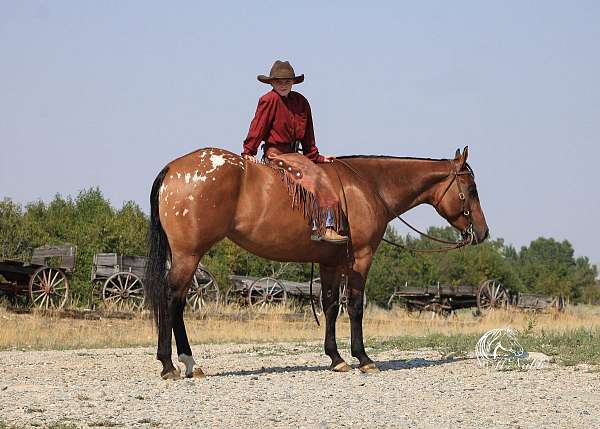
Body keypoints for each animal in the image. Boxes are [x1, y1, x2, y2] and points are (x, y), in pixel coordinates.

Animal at [144, 146, 488, 378]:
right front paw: (363, 358)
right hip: (189, 255)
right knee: (172, 298)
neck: (369, 186)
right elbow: (355, 305)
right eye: (471, 189)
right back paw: (174, 363)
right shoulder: (361, 257)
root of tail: (173, 168)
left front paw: (336, 358)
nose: (483, 232)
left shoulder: (330, 263)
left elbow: (331, 306)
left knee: (175, 300)